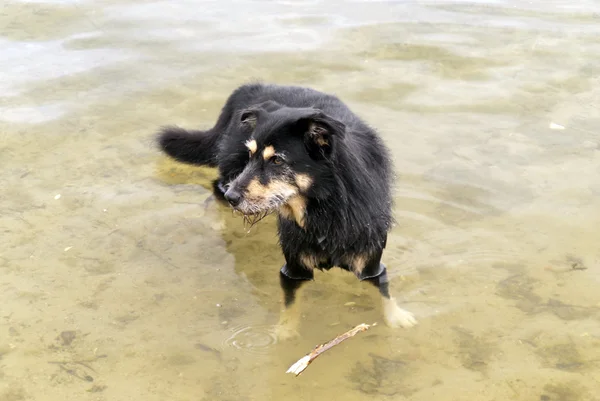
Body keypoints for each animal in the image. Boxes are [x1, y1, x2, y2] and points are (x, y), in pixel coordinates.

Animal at [155, 82, 418, 338]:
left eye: (277, 160)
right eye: (251, 155)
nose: (234, 198)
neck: (326, 207)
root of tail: (249, 86)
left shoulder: (370, 260)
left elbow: (383, 290)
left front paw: (396, 316)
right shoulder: (293, 267)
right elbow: (290, 303)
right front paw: (285, 332)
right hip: (230, 168)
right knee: (215, 188)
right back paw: (217, 220)